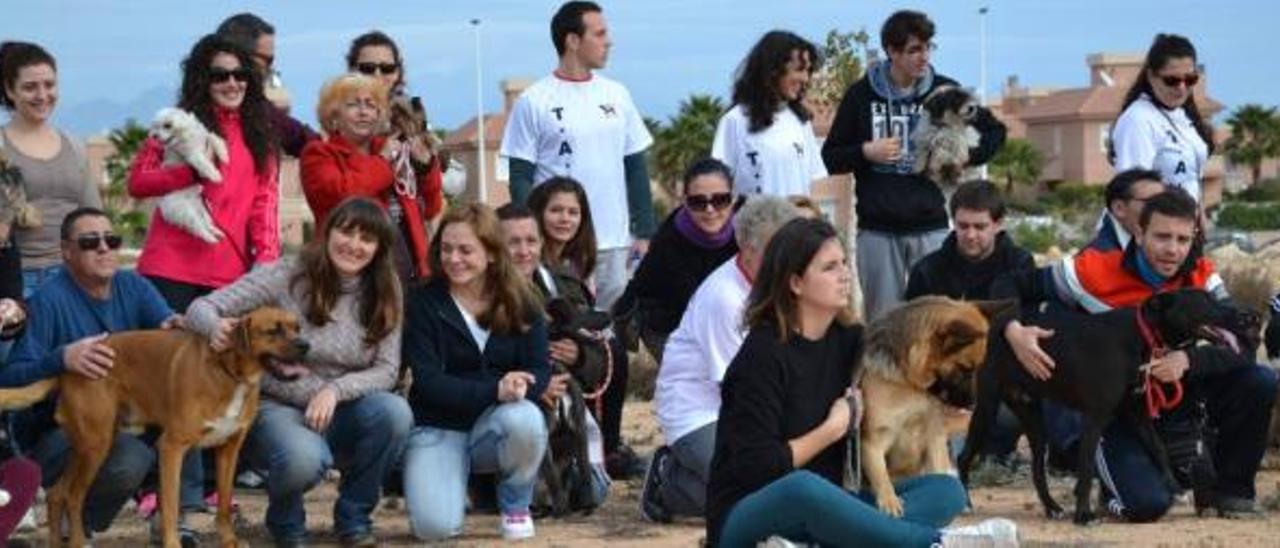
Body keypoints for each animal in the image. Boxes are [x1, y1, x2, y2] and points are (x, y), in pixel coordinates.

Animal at [0, 308, 307, 548]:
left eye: (297, 327)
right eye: (274, 330)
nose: (306, 345)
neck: (228, 371)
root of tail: (68, 364)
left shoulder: (229, 449)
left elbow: (223, 503)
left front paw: (229, 541)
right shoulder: (171, 448)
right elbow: (170, 505)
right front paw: (173, 543)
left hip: (88, 444)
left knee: (57, 493)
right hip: (96, 446)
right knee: (74, 497)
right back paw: (76, 541)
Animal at [148, 106, 229, 241]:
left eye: (167, 125)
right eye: (156, 126)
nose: (154, 136)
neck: (187, 134)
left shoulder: (205, 137)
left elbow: (214, 138)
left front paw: (224, 155)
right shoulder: (193, 155)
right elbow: (204, 163)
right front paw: (215, 176)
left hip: (202, 208)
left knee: (206, 223)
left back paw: (217, 232)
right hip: (186, 212)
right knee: (198, 229)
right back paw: (210, 239)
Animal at [860, 297, 1008, 514]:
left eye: (977, 369)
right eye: (965, 368)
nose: (973, 406)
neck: (910, 385)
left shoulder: (935, 439)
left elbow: (939, 476)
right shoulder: (874, 440)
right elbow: (881, 476)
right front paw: (889, 500)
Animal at [962, 289, 1244, 524]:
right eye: (1205, 301)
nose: (1246, 316)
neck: (1142, 335)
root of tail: (994, 325)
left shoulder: (1137, 412)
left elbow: (1159, 449)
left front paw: (1174, 486)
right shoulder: (1094, 417)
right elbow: (1087, 470)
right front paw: (1083, 515)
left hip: (1033, 419)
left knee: (1037, 470)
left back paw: (1052, 507)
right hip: (986, 410)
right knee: (964, 456)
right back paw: (964, 502)